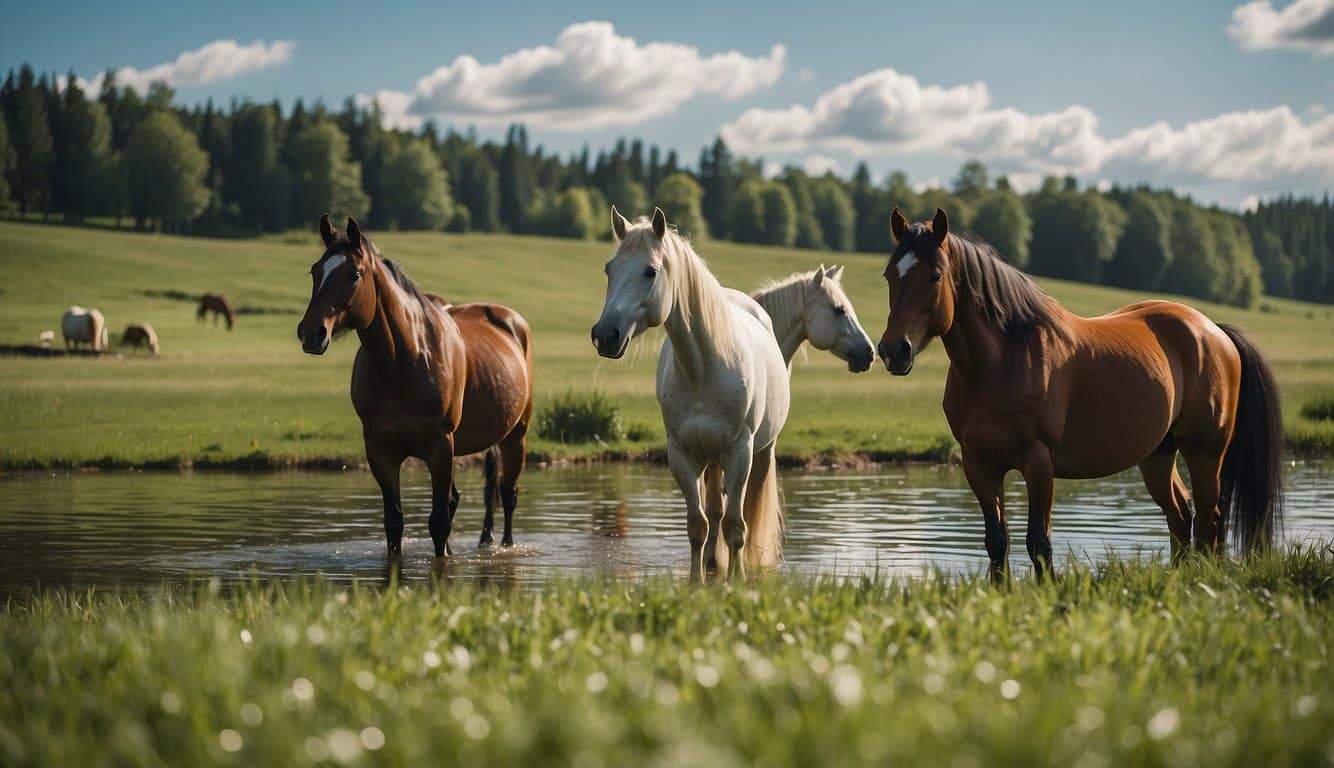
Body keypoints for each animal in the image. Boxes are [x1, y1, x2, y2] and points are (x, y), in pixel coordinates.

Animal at [300, 213, 533, 554]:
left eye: (354, 274)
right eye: (315, 270)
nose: (311, 333)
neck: (403, 362)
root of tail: (511, 321)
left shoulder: (440, 447)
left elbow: (439, 523)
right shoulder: (380, 451)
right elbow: (395, 523)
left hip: (515, 435)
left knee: (507, 493)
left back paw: (502, 543)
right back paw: (485, 537)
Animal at [594, 206, 789, 578]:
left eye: (651, 271)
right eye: (609, 268)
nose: (605, 335)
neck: (704, 371)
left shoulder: (740, 453)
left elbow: (735, 525)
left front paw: (738, 579)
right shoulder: (681, 455)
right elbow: (698, 524)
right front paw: (696, 581)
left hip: (760, 451)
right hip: (710, 458)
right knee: (713, 512)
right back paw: (713, 562)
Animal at [875, 206, 1280, 578]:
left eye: (935, 275)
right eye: (889, 275)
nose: (894, 350)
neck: (1002, 362)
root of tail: (1213, 330)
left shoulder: (1039, 463)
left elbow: (1038, 542)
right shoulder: (979, 465)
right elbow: (996, 541)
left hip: (1205, 452)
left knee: (1211, 520)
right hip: (1158, 454)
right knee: (1182, 515)